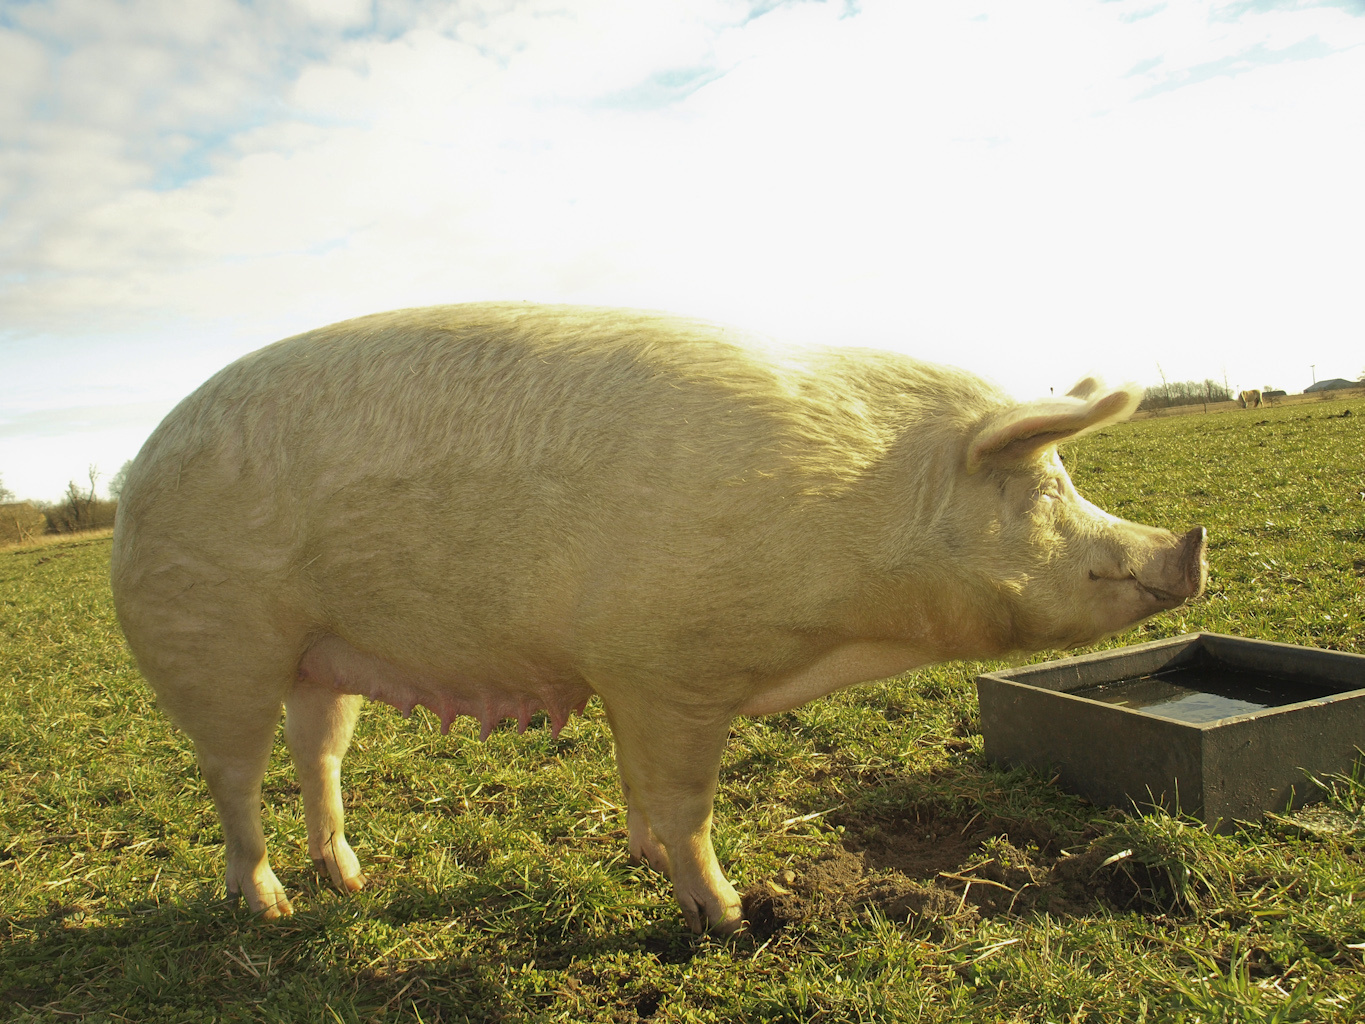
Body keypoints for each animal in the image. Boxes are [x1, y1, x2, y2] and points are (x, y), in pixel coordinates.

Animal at [111, 300, 1212, 933]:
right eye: (1046, 487)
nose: (1189, 543)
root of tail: (136, 472)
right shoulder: (668, 669)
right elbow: (687, 803)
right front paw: (726, 917)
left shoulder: (632, 678)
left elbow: (641, 788)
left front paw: (647, 861)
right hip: (213, 642)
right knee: (233, 780)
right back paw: (270, 905)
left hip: (320, 654)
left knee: (320, 755)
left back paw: (348, 883)